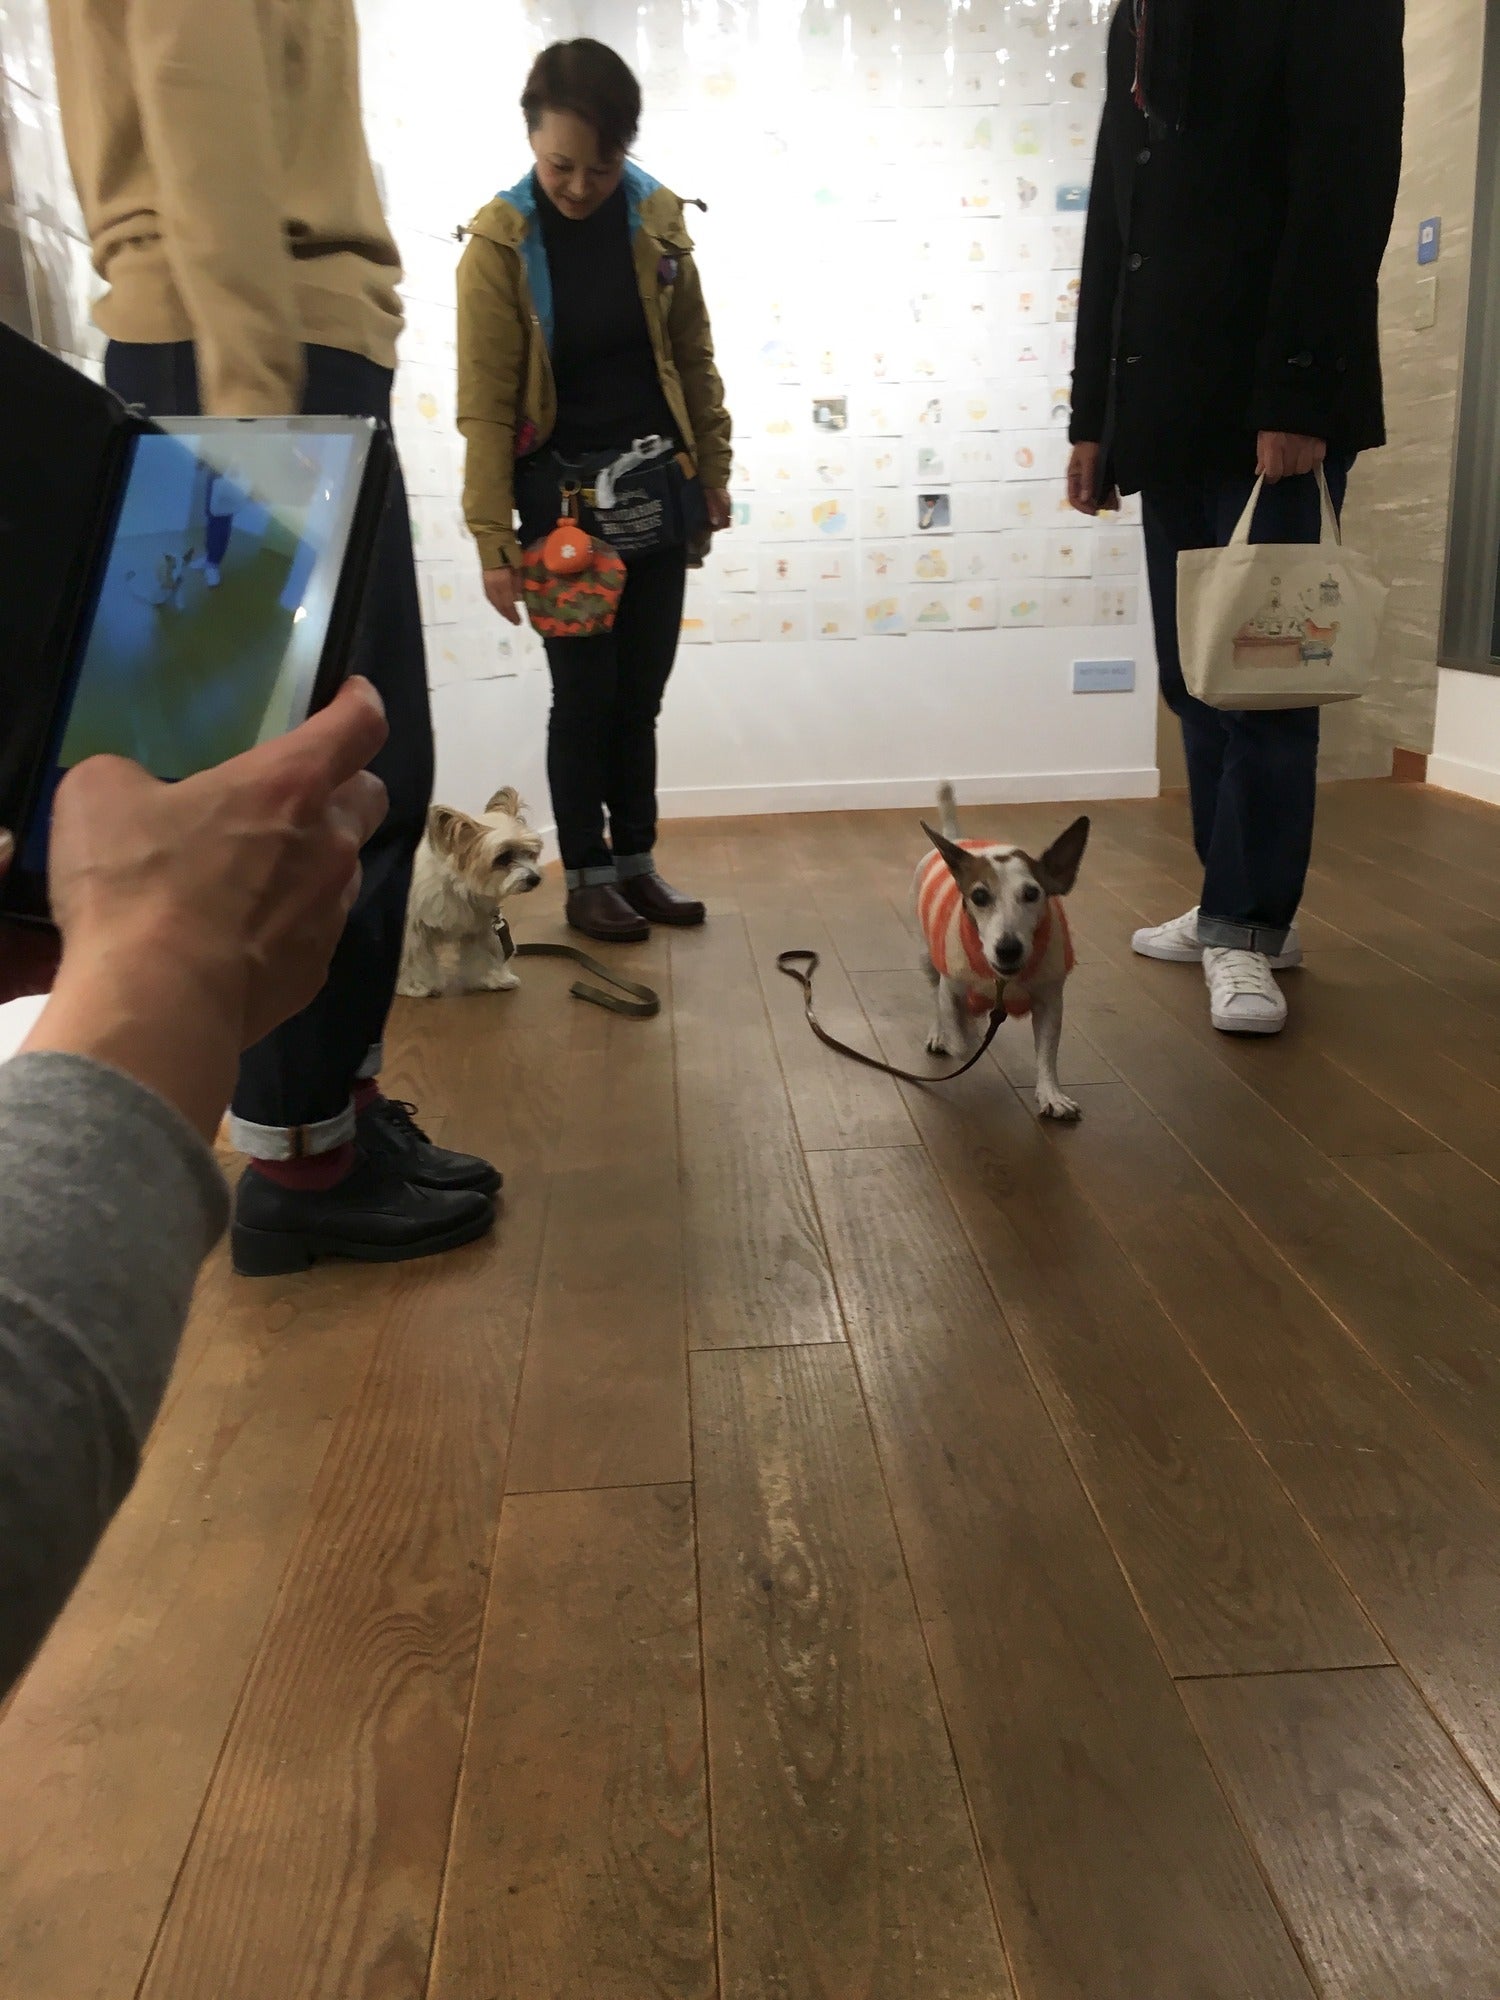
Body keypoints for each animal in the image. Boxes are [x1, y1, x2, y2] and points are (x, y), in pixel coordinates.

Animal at [397, 787, 543, 998]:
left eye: (531, 853)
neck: (457, 888)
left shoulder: (479, 928)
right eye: (503, 857)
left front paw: (494, 979)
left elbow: (484, 953)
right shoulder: (413, 930)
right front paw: (416, 986)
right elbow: (414, 958)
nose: (534, 879)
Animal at [913, 784, 1090, 1121]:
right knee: (934, 996)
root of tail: (957, 839)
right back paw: (941, 1031)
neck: (1003, 981)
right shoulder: (951, 987)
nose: (1008, 949)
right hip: (927, 958)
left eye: (1032, 894)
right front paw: (961, 1032)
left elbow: (1047, 1053)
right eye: (979, 896)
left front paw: (1051, 1095)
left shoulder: (1049, 1002)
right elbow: (959, 1036)